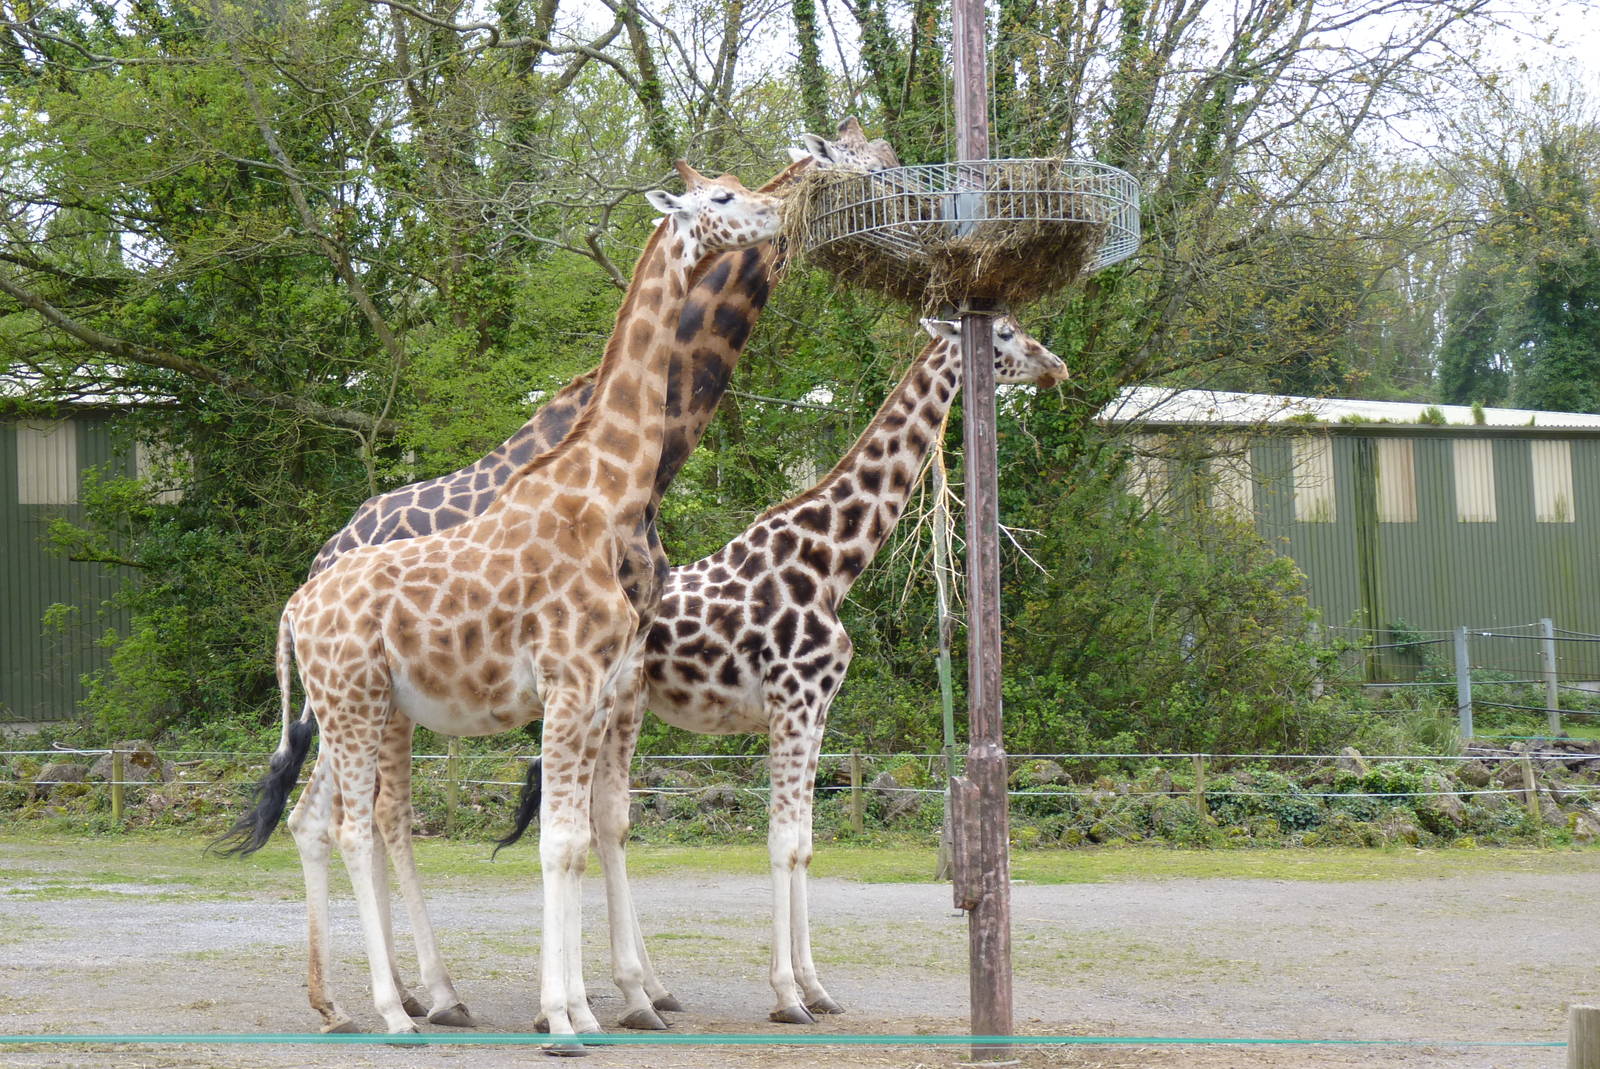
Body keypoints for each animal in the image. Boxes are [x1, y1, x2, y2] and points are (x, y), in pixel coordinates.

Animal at [215, 121, 905, 1036]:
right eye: (721, 196)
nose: (774, 214)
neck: (611, 486)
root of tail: (302, 592)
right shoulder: (579, 682)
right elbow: (567, 835)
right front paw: (582, 1008)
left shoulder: (604, 683)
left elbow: (583, 833)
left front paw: (603, 1000)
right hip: (360, 706)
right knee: (364, 823)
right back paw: (406, 1003)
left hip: (362, 707)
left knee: (320, 819)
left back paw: (350, 1000)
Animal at [500, 315, 1067, 1024]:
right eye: (1010, 333)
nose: (1057, 367)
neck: (831, 564)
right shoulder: (790, 704)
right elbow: (779, 843)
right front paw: (787, 995)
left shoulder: (818, 710)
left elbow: (803, 843)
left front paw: (816, 988)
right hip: (612, 705)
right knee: (603, 824)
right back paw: (614, 996)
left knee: (596, 828)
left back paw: (643, 991)